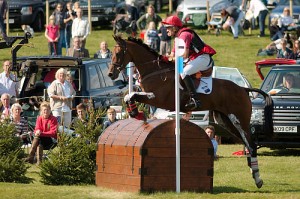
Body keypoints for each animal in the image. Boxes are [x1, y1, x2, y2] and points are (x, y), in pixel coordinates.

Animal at [108, 35, 274, 189]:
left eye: (118, 53)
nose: (110, 74)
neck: (155, 72)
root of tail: (243, 89)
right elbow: (129, 96)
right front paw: (136, 113)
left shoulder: (157, 98)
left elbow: (133, 95)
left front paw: (137, 113)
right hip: (225, 121)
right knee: (246, 143)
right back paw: (254, 173)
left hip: (241, 119)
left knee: (251, 144)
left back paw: (258, 178)